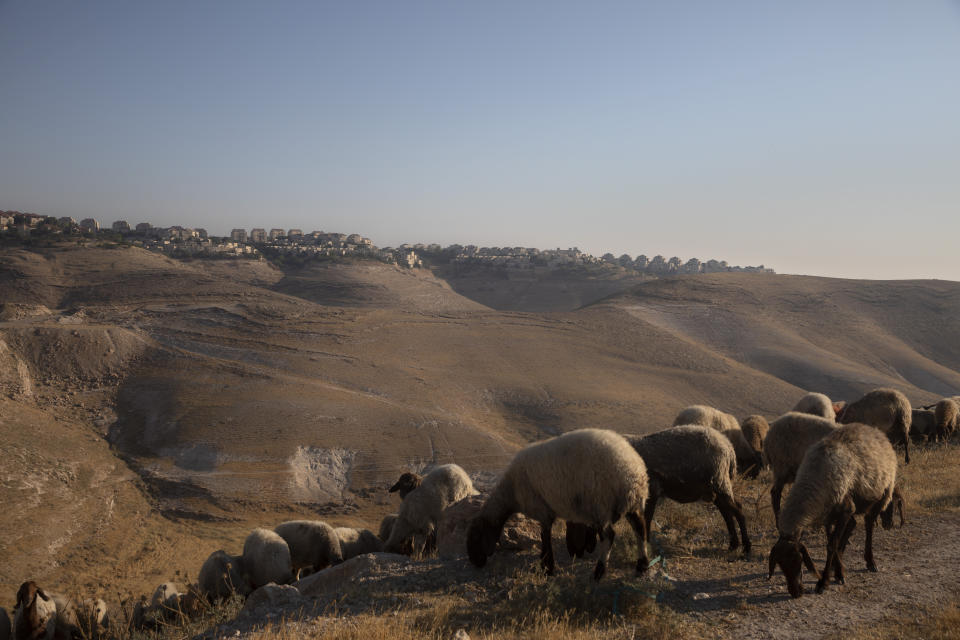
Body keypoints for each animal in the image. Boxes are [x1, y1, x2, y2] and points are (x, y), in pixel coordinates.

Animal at [466, 428, 648, 584]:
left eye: (475, 537)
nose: (475, 562)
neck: (511, 492)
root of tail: (632, 470)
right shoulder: (546, 511)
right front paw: (546, 566)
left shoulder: (542, 510)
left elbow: (545, 537)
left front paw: (547, 567)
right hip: (632, 503)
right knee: (640, 529)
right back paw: (642, 565)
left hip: (601, 504)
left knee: (609, 536)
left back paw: (599, 572)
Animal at [764, 422, 900, 596]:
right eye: (780, 564)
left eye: (798, 559)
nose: (796, 593)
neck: (814, 477)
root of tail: (873, 429)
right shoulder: (828, 513)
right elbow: (831, 542)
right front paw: (837, 571)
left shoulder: (844, 510)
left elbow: (831, 545)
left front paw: (823, 582)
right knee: (852, 525)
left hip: (882, 494)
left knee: (869, 525)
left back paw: (870, 561)